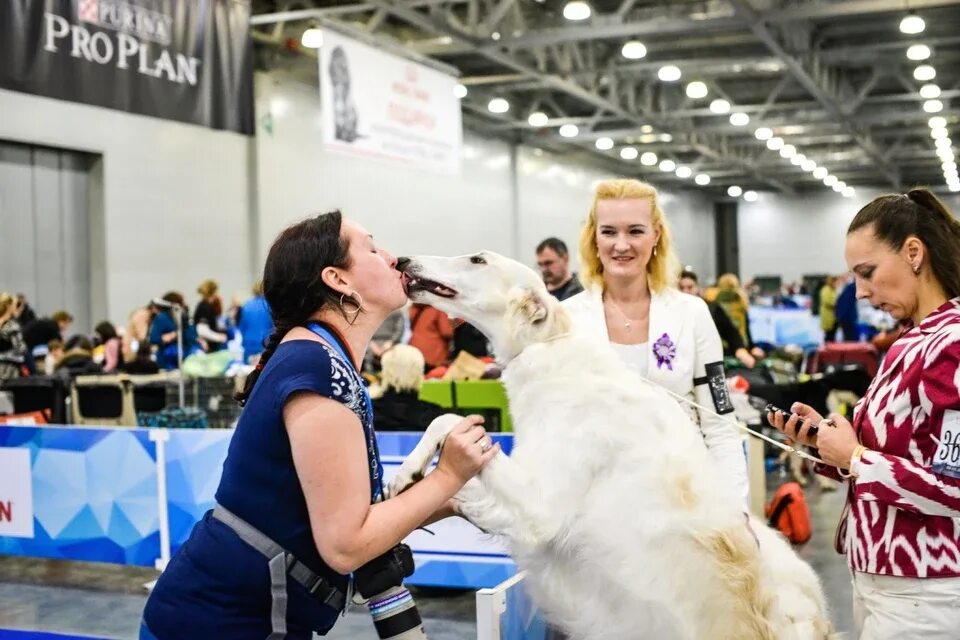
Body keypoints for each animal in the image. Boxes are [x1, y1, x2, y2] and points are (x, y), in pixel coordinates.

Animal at [390, 252, 832, 636]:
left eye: (478, 259)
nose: (404, 259)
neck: (549, 347)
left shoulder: (540, 508)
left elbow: (450, 422)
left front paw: (413, 475)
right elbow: (447, 426)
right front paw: (409, 476)